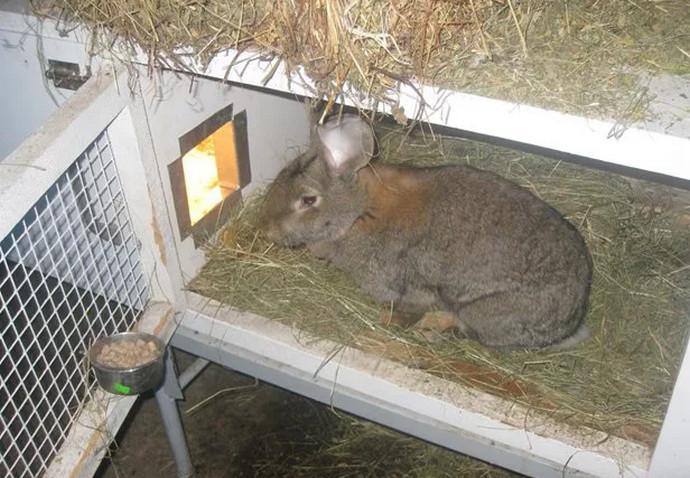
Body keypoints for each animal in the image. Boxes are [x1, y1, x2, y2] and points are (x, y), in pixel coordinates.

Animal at [260, 114, 592, 350]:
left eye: (308, 200)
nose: (270, 231)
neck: (359, 213)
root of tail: (571, 322)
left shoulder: (407, 285)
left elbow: (407, 306)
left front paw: (389, 321)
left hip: (484, 311)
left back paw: (432, 330)